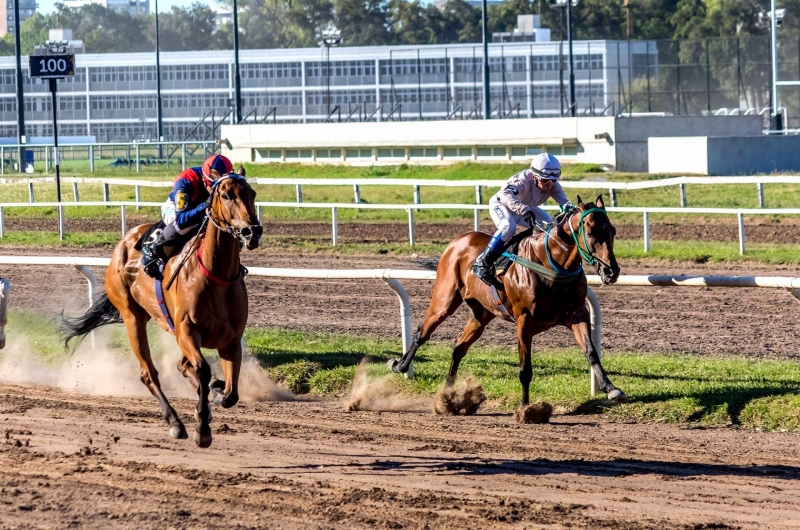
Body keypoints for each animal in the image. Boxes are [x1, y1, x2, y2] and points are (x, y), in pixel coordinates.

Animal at [63, 165, 262, 446]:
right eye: (226, 195)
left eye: (251, 193)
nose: (252, 231)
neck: (216, 275)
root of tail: (123, 244)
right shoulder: (187, 330)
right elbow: (202, 370)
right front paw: (202, 428)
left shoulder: (231, 340)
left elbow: (230, 393)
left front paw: (214, 395)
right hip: (132, 317)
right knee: (150, 373)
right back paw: (175, 422)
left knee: (182, 366)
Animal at [388, 196, 624, 406]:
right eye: (591, 233)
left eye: (612, 231)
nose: (611, 272)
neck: (552, 265)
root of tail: (457, 240)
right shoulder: (524, 320)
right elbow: (525, 368)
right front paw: (525, 407)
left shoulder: (576, 313)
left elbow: (591, 352)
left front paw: (611, 388)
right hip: (444, 300)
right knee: (423, 332)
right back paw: (400, 365)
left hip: (481, 314)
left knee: (459, 347)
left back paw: (447, 392)